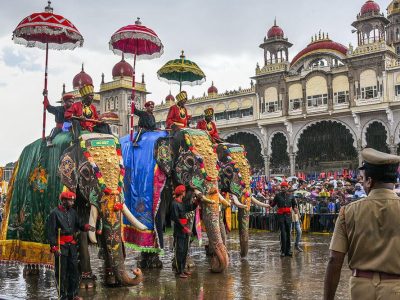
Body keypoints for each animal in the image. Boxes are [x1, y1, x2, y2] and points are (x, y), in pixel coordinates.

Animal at [0, 132, 144, 288]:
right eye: (86, 172)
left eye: (122, 170)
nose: (136, 270)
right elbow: (79, 230)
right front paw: (86, 284)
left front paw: (112, 282)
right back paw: (31, 272)